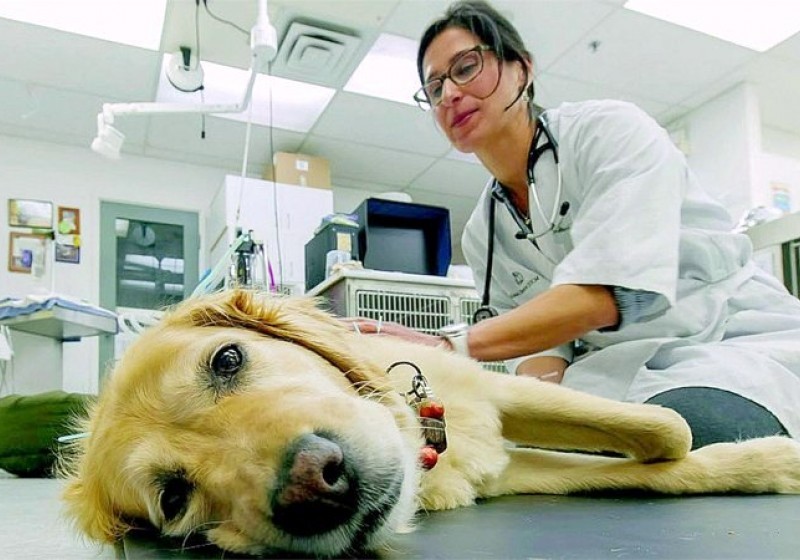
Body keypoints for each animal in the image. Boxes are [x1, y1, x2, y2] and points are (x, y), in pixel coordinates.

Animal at [62, 288, 800, 556]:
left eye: (227, 358)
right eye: (173, 498)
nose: (315, 484)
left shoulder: (499, 396)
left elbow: (669, 429)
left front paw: (779, 458)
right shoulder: (513, 470)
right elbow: (661, 463)